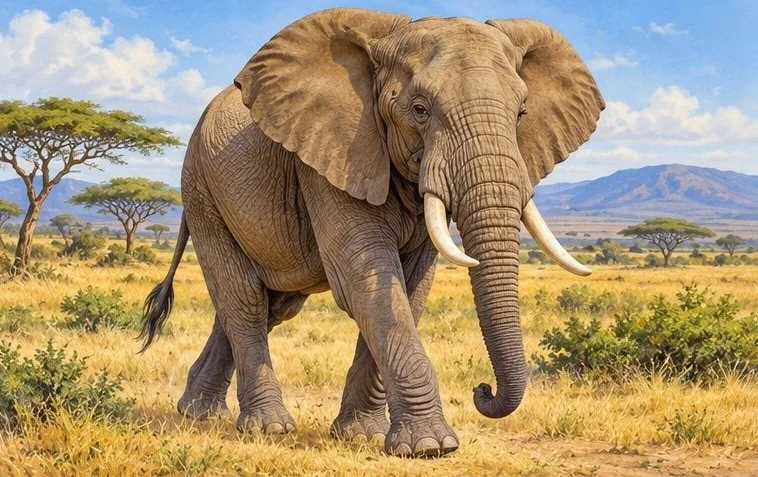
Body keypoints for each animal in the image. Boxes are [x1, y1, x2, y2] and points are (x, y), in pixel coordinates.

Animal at [140, 8, 603, 457]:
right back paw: (266, 428)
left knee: (269, 305)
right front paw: (430, 447)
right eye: (419, 109)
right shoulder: (332, 157)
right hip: (201, 189)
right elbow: (365, 280)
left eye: (522, 113)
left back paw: (199, 412)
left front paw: (361, 436)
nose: (482, 390)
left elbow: (411, 288)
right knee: (244, 297)